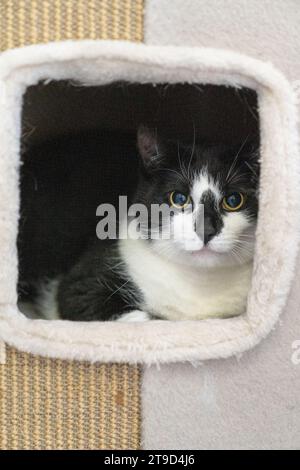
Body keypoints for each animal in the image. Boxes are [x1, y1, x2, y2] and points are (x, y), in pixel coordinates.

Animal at [31, 126, 260, 324]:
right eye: (179, 198)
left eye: (233, 200)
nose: (207, 230)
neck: (200, 283)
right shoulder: (82, 283)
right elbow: (82, 300)